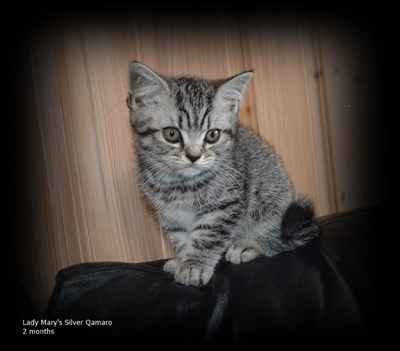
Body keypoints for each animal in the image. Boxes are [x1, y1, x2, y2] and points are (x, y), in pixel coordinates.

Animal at [128, 62, 318, 288]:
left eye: (212, 135)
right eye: (171, 134)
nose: (194, 156)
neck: (180, 185)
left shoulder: (227, 204)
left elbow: (206, 235)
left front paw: (193, 266)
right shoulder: (169, 214)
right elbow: (181, 237)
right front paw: (182, 260)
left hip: (272, 200)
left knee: (280, 239)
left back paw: (250, 245)